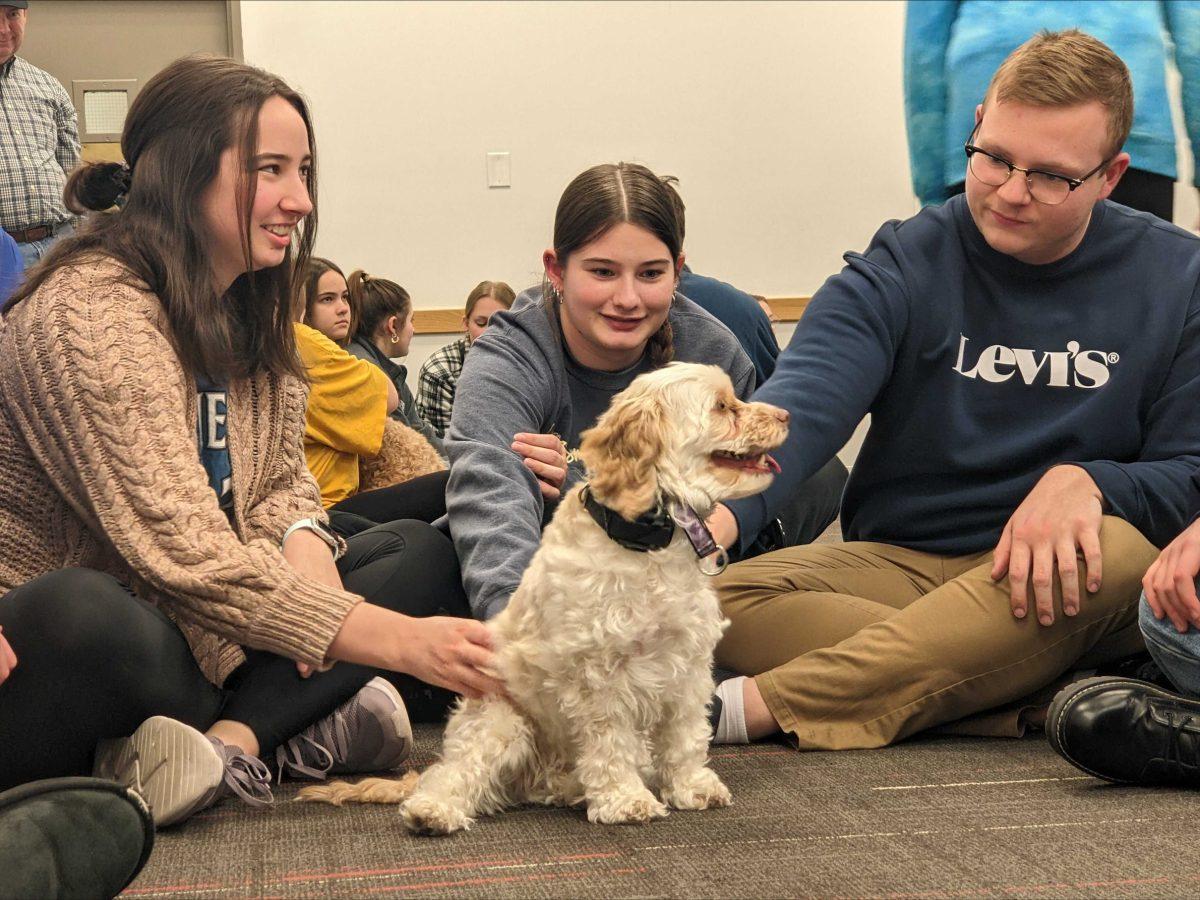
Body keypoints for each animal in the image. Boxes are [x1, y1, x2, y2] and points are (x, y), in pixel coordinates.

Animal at [298, 362, 787, 835]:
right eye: (723, 406)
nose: (785, 415)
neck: (648, 545)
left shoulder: (687, 666)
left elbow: (685, 736)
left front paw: (691, 786)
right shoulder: (600, 678)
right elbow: (611, 744)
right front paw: (624, 799)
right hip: (500, 721)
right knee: (453, 775)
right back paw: (433, 811)